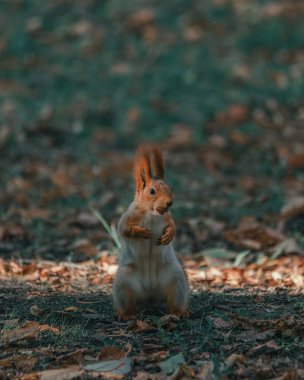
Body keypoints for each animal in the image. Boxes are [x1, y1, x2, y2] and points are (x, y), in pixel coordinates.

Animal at [113, 144, 189, 320]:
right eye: (152, 191)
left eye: (171, 188)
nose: (169, 203)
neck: (151, 213)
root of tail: (150, 296)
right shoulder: (127, 217)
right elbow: (124, 229)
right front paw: (142, 232)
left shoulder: (168, 217)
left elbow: (173, 228)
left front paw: (167, 237)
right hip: (124, 282)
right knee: (129, 303)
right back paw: (124, 314)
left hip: (176, 278)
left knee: (173, 301)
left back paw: (180, 312)